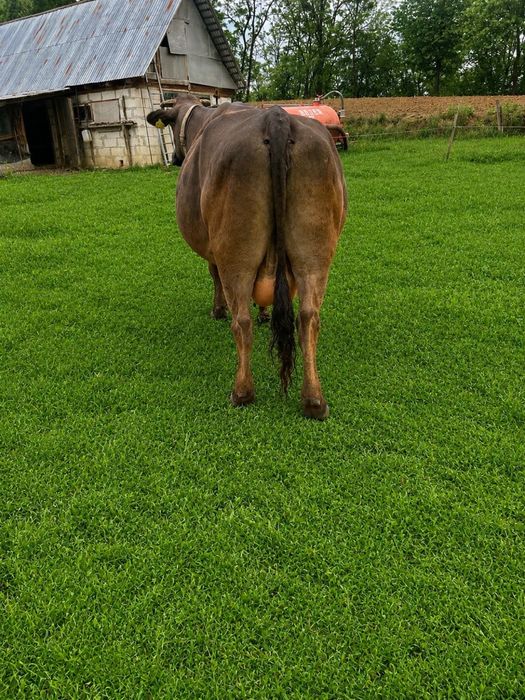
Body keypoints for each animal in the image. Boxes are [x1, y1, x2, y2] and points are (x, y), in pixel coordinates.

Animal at [147, 93, 347, 419]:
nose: (175, 158)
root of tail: (277, 117)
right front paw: (264, 314)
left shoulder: (212, 249)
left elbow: (213, 275)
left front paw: (218, 309)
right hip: (314, 251)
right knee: (308, 316)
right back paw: (314, 400)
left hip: (235, 251)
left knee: (241, 320)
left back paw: (242, 391)